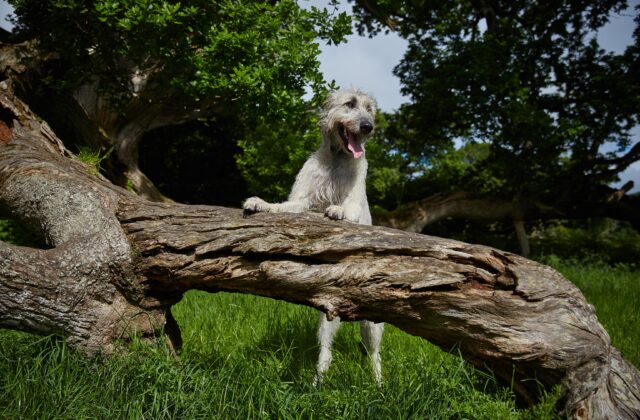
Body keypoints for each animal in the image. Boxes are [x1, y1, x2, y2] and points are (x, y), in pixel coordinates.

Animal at [244, 88, 384, 384]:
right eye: (350, 104)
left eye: (369, 109)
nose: (368, 126)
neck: (338, 157)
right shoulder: (301, 197)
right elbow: (287, 205)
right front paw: (262, 204)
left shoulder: (356, 198)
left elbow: (350, 208)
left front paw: (338, 210)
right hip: (328, 306)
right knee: (326, 348)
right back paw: (318, 379)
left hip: (372, 321)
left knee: (374, 353)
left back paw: (378, 381)